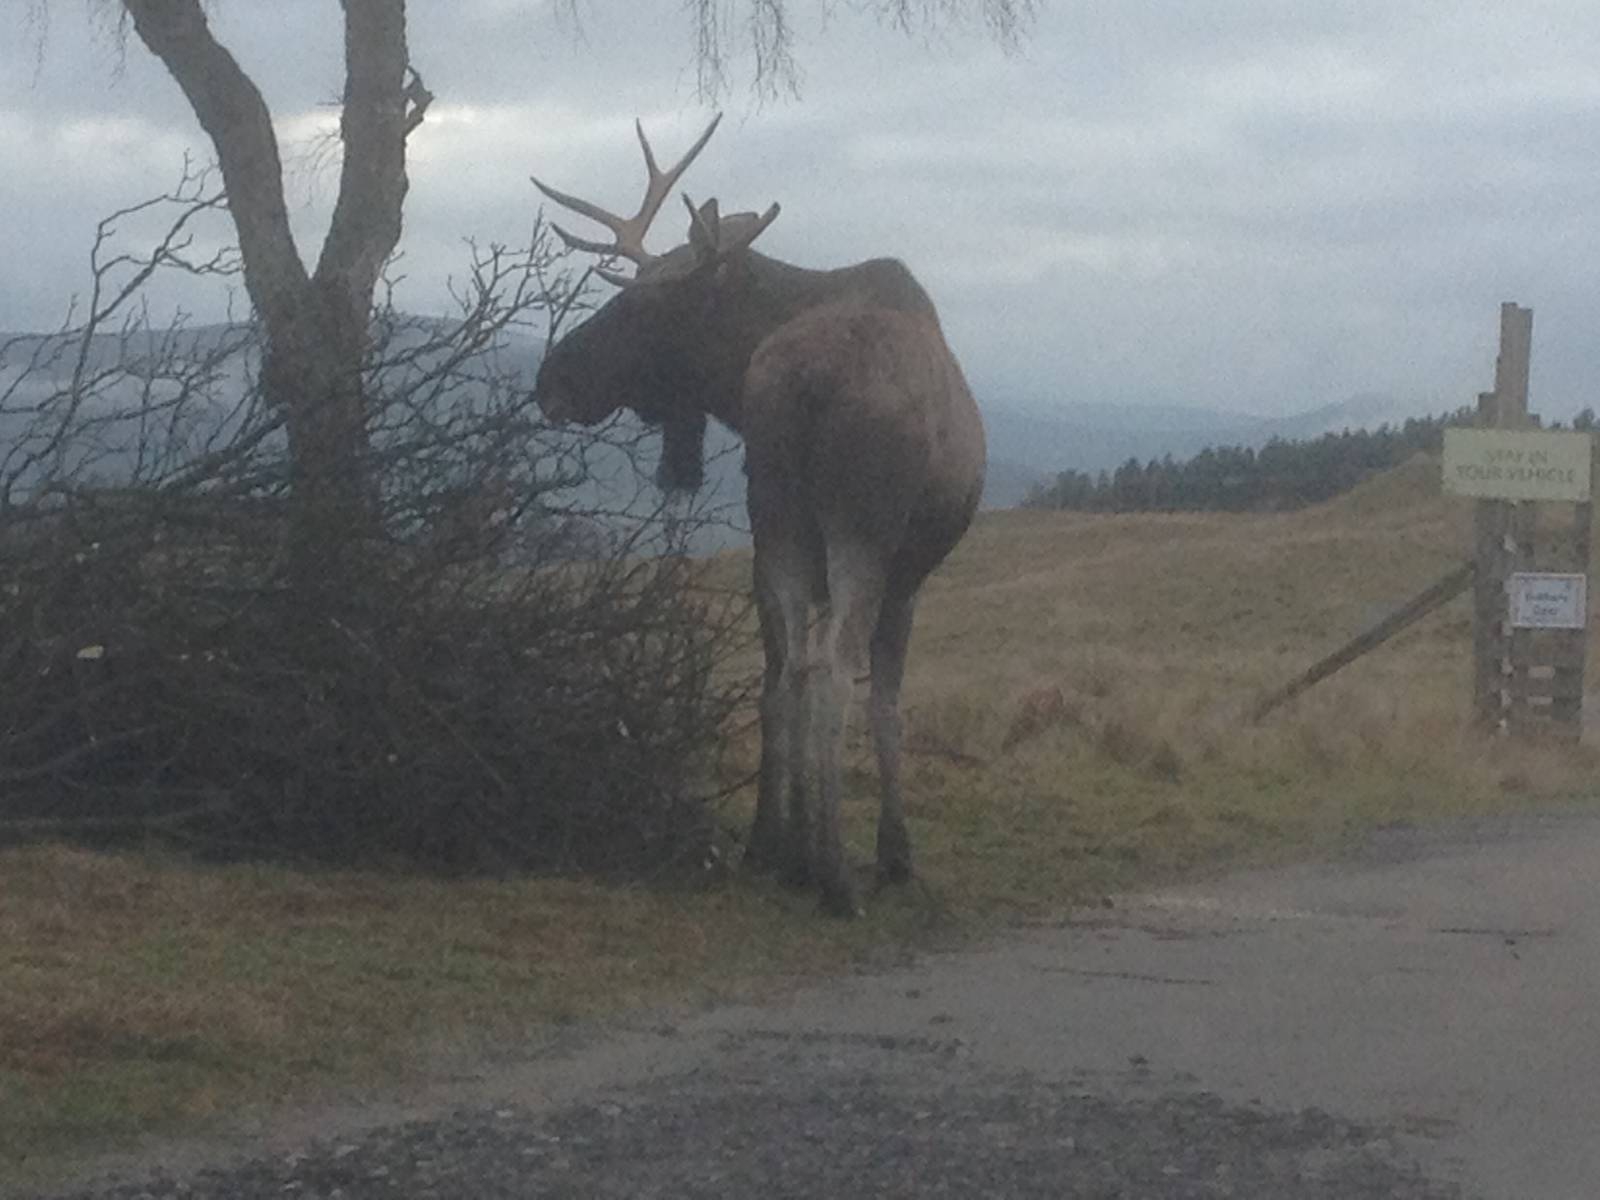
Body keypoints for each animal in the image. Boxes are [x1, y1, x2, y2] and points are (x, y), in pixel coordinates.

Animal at [531, 114, 985, 916]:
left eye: (643, 305)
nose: (550, 376)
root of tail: (807, 382)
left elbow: (781, 670)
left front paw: (774, 841)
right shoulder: (908, 577)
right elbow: (888, 704)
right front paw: (892, 852)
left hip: (777, 518)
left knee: (789, 670)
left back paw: (789, 854)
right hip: (860, 530)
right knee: (831, 672)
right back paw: (836, 877)